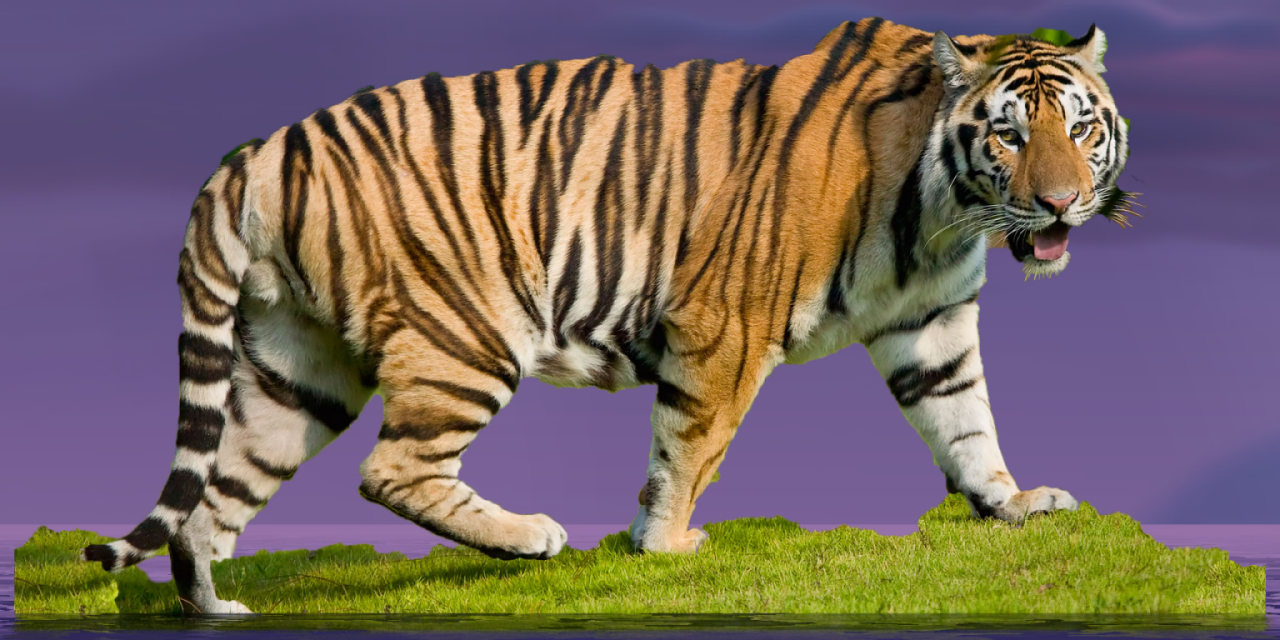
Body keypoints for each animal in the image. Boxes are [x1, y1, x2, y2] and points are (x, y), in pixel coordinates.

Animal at [83, 17, 1133, 614]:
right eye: (1010, 135)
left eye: (1081, 127)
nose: (1061, 205)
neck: (946, 212)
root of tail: (259, 150)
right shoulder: (725, 325)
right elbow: (691, 445)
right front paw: (663, 546)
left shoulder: (933, 324)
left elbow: (967, 422)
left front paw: (1013, 504)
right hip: (468, 335)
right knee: (391, 470)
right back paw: (529, 536)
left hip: (296, 369)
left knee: (214, 497)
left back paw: (211, 605)